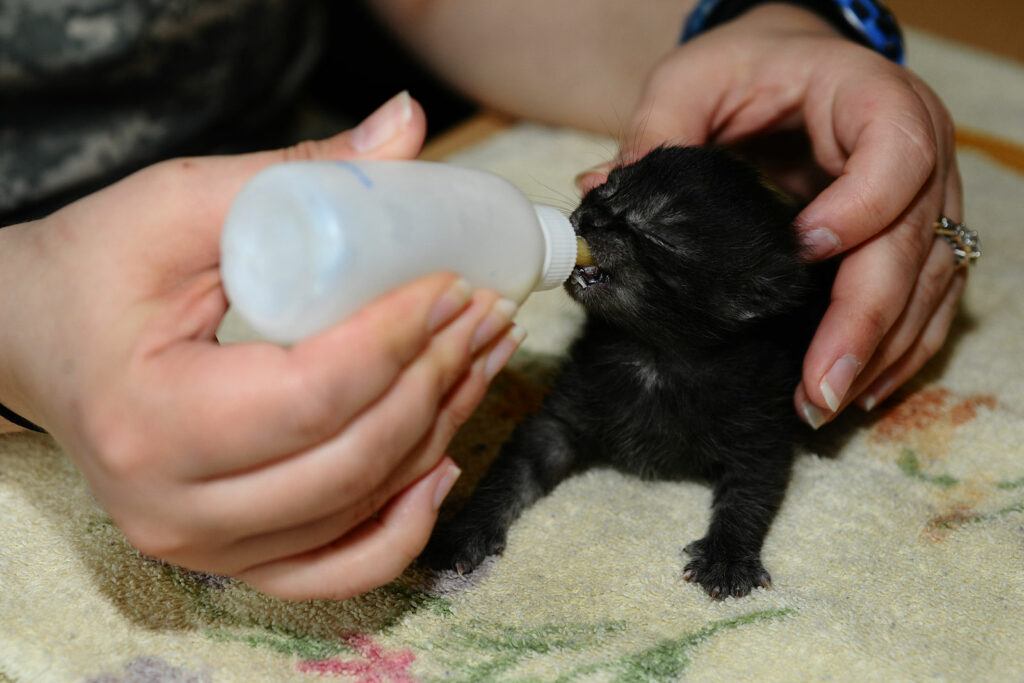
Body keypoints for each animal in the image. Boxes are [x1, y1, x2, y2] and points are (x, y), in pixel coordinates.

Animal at [421, 145, 831, 598]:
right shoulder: (561, 417)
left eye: (659, 235)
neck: (653, 354)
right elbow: (514, 470)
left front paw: (727, 558)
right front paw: (466, 529)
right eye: (607, 189)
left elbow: (749, 495)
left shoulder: (761, 426)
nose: (592, 217)